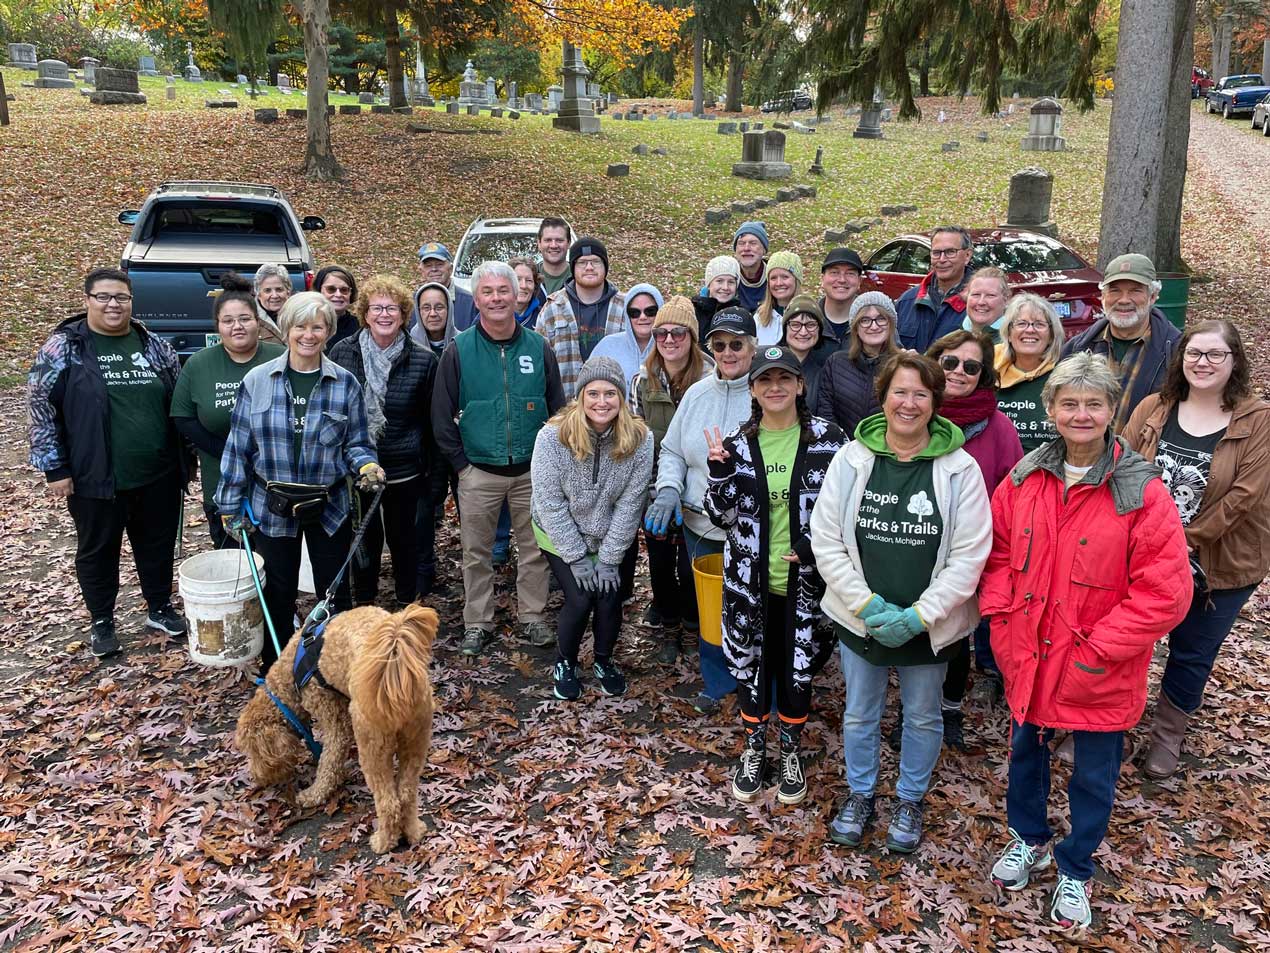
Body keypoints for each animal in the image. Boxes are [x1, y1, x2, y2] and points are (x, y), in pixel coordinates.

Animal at [236, 599, 439, 853]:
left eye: (252, 751)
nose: (256, 777)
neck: (289, 673)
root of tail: (396, 667)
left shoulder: (334, 719)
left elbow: (329, 760)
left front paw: (314, 794)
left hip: (373, 746)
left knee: (388, 802)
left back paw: (384, 841)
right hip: (416, 739)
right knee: (406, 793)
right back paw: (414, 832)